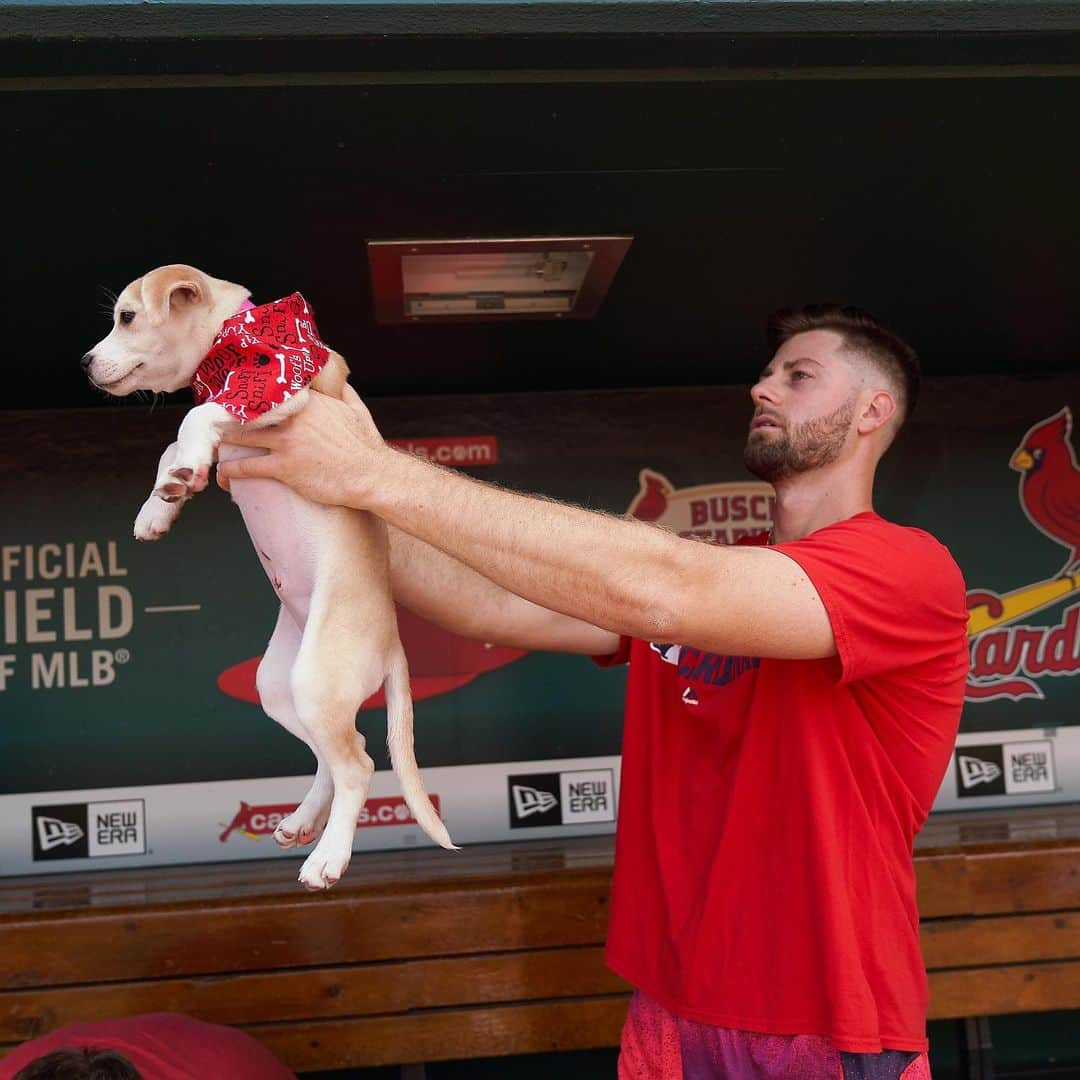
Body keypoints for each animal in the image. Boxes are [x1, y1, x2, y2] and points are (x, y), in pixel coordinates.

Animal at [82, 265, 453, 889]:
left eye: (127, 317)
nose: (85, 362)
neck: (226, 342)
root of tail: (392, 645)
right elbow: (170, 445)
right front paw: (162, 502)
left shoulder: (274, 391)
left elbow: (194, 417)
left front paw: (184, 469)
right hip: (283, 690)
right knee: (339, 752)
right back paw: (303, 822)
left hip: (316, 681)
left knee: (358, 764)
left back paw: (327, 858)